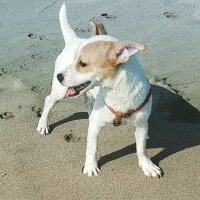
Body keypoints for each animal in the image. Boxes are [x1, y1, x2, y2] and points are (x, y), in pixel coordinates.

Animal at [37, 3, 162, 178]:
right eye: (75, 60)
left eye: (82, 64)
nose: (59, 76)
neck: (117, 93)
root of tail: (74, 40)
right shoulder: (95, 127)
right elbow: (92, 148)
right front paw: (90, 166)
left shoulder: (142, 125)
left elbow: (141, 149)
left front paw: (147, 166)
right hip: (60, 92)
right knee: (48, 100)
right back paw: (43, 124)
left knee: (88, 103)